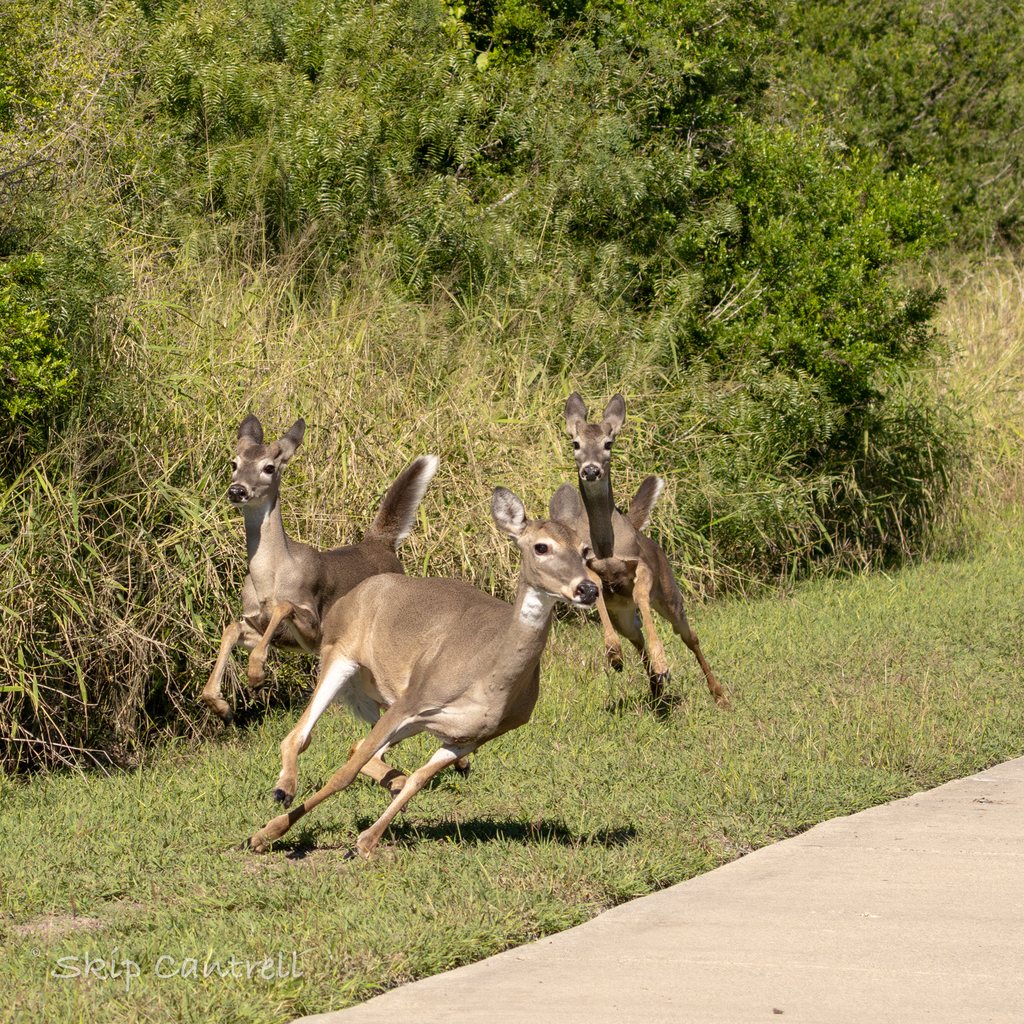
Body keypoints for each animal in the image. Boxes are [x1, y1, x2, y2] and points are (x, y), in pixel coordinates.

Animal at [200, 414, 439, 728]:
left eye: (269, 467)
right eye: (234, 462)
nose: (237, 490)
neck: (269, 578)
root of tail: (380, 544)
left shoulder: (315, 625)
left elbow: (284, 606)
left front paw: (256, 676)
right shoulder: (267, 630)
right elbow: (231, 628)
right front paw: (221, 705)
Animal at [247, 487, 599, 857]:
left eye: (585, 549)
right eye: (541, 546)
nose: (588, 589)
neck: (491, 679)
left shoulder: (468, 737)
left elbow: (417, 780)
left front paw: (364, 843)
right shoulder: (412, 698)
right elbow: (344, 775)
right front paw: (266, 834)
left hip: (406, 715)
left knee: (359, 747)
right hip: (341, 654)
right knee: (301, 734)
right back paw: (282, 792)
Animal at [549, 393, 730, 708]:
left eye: (609, 443)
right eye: (575, 443)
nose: (591, 470)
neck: (607, 544)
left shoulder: (641, 567)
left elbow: (643, 599)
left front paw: (663, 662)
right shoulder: (589, 570)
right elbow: (599, 592)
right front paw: (613, 654)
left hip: (671, 595)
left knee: (689, 635)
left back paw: (718, 695)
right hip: (623, 615)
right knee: (636, 636)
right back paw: (655, 688)